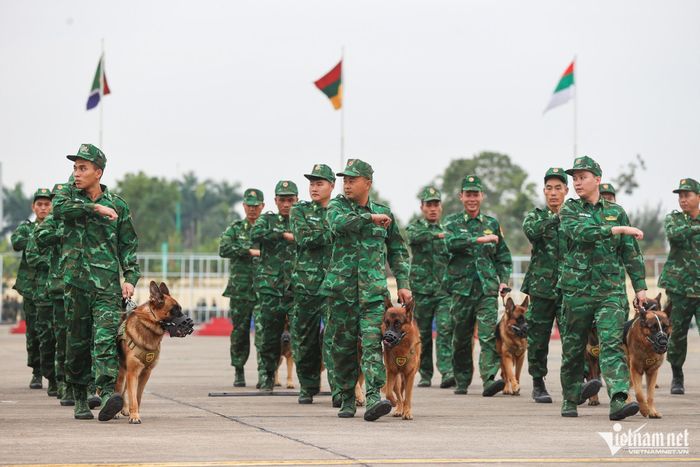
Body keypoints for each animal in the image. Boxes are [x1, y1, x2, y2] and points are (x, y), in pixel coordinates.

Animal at [115, 282, 190, 424]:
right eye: (175, 310)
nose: (191, 324)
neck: (149, 327)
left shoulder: (145, 373)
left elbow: (137, 396)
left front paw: (135, 413)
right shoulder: (133, 372)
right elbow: (132, 396)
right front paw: (134, 416)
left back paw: (124, 408)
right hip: (122, 373)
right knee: (117, 388)